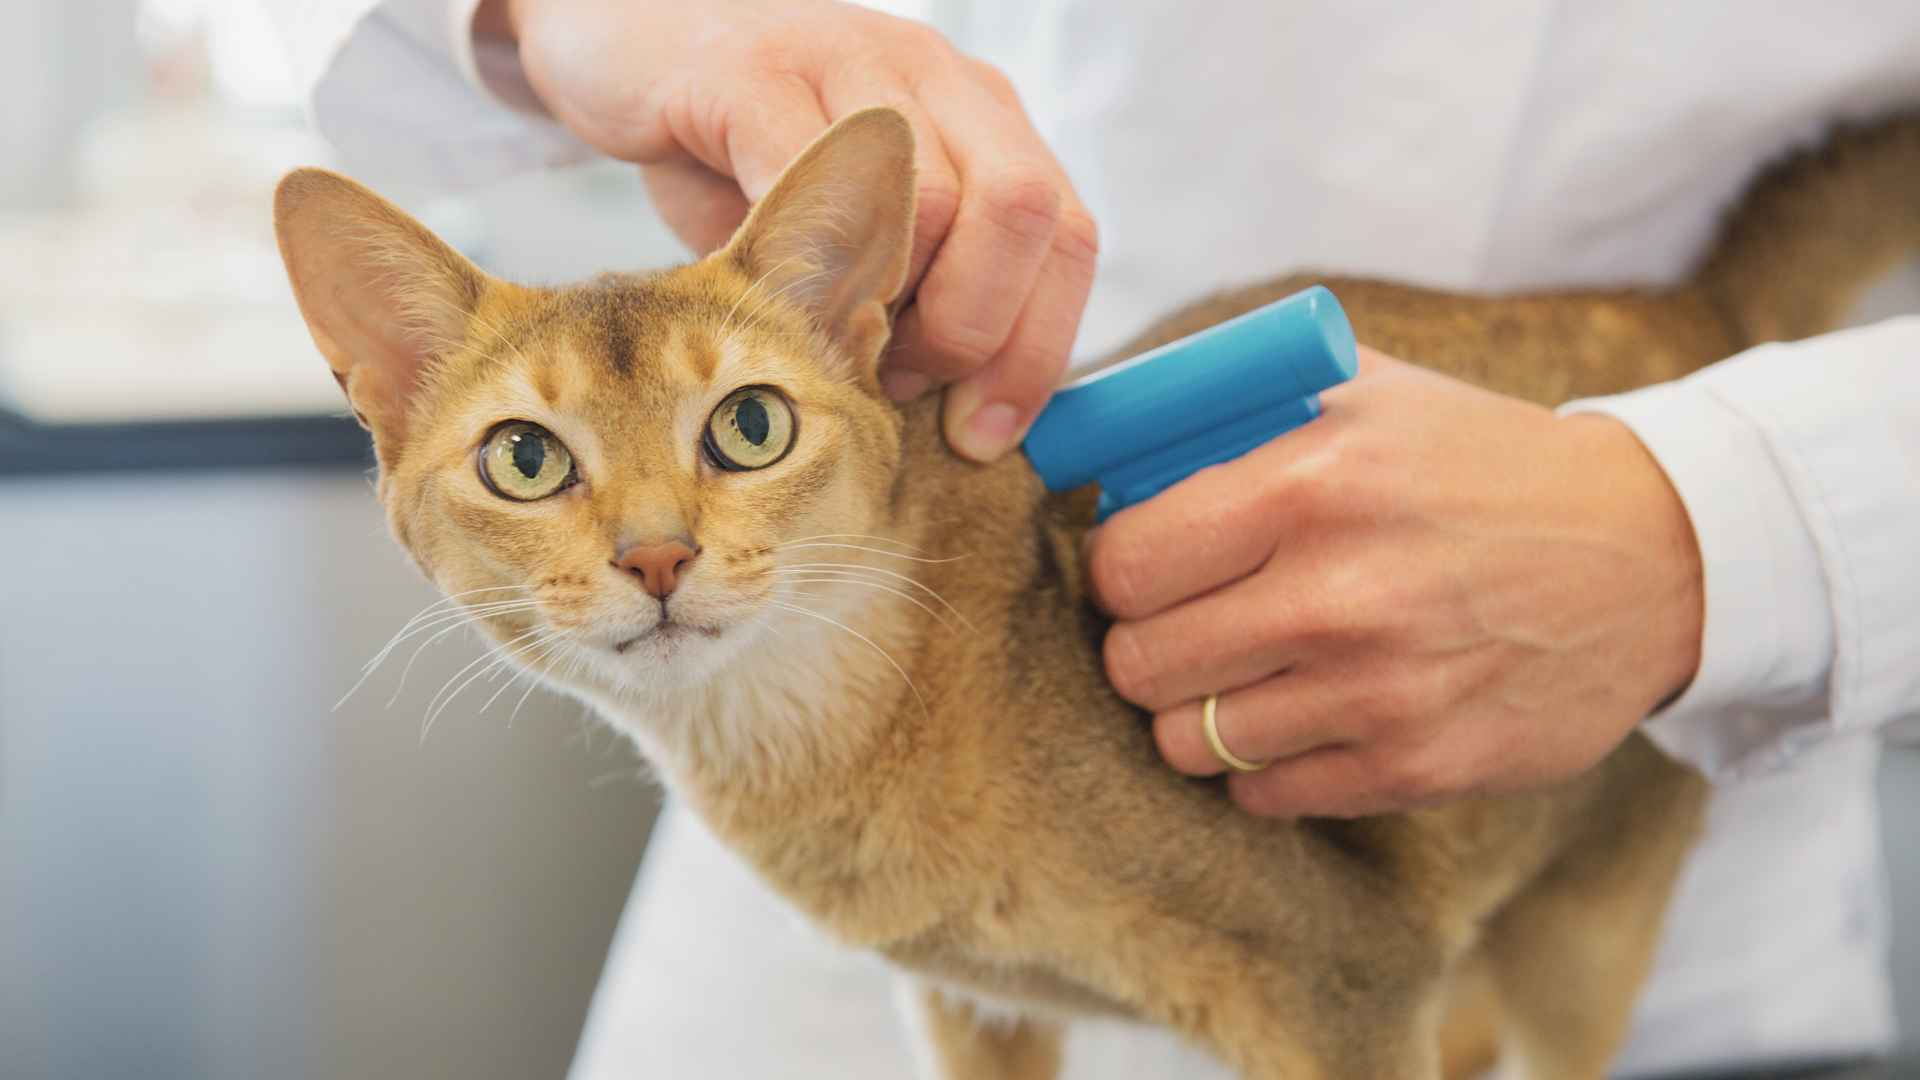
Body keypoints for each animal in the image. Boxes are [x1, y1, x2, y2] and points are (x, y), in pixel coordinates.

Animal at [274, 105, 1920, 1068]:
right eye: (525, 459)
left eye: (747, 426)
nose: (657, 557)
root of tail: (1686, 301)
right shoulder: (971, 1010)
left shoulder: (1348, 986)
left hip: (1584, 931)